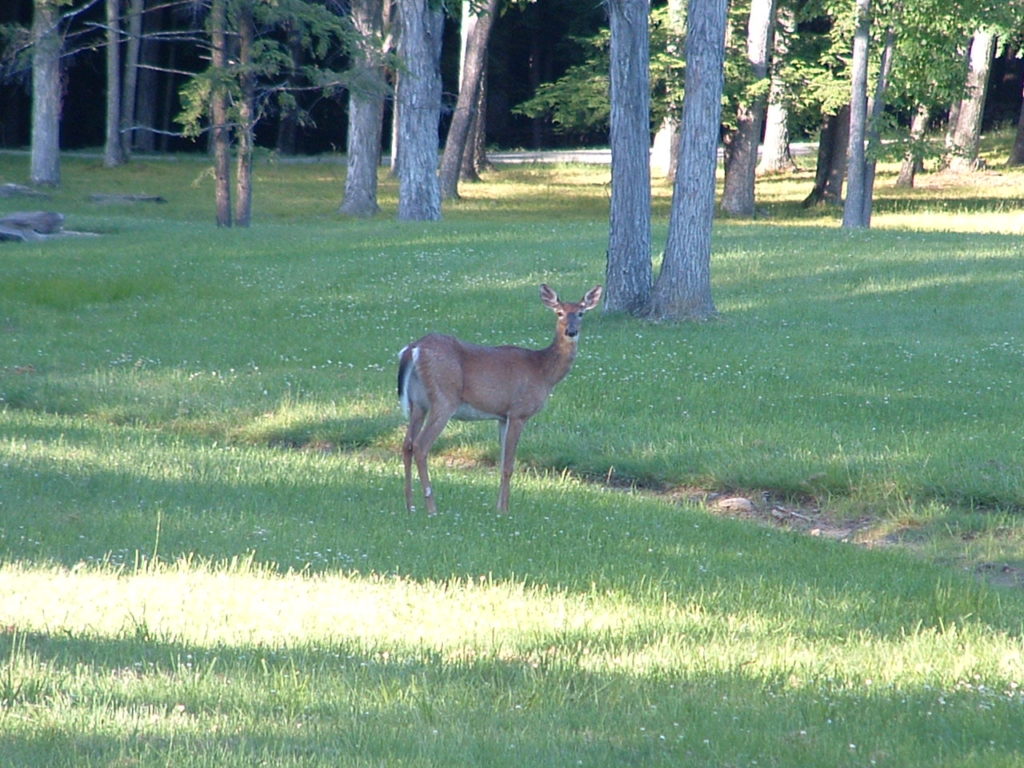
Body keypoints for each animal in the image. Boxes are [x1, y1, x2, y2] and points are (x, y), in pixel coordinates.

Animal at [397, 284, 606, 518]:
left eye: (581, 313)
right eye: (559, 313)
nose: (571, 331)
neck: (543, 371)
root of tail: (413, 349)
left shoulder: (502, 416)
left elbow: (501, 462)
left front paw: (498, 507)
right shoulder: (518, 412)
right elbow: (508, 465)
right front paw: (505, 510)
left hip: (418, 403)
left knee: (406, 444)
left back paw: (410, 506)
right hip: (444, 399)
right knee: (420, 445)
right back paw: (432, 508)